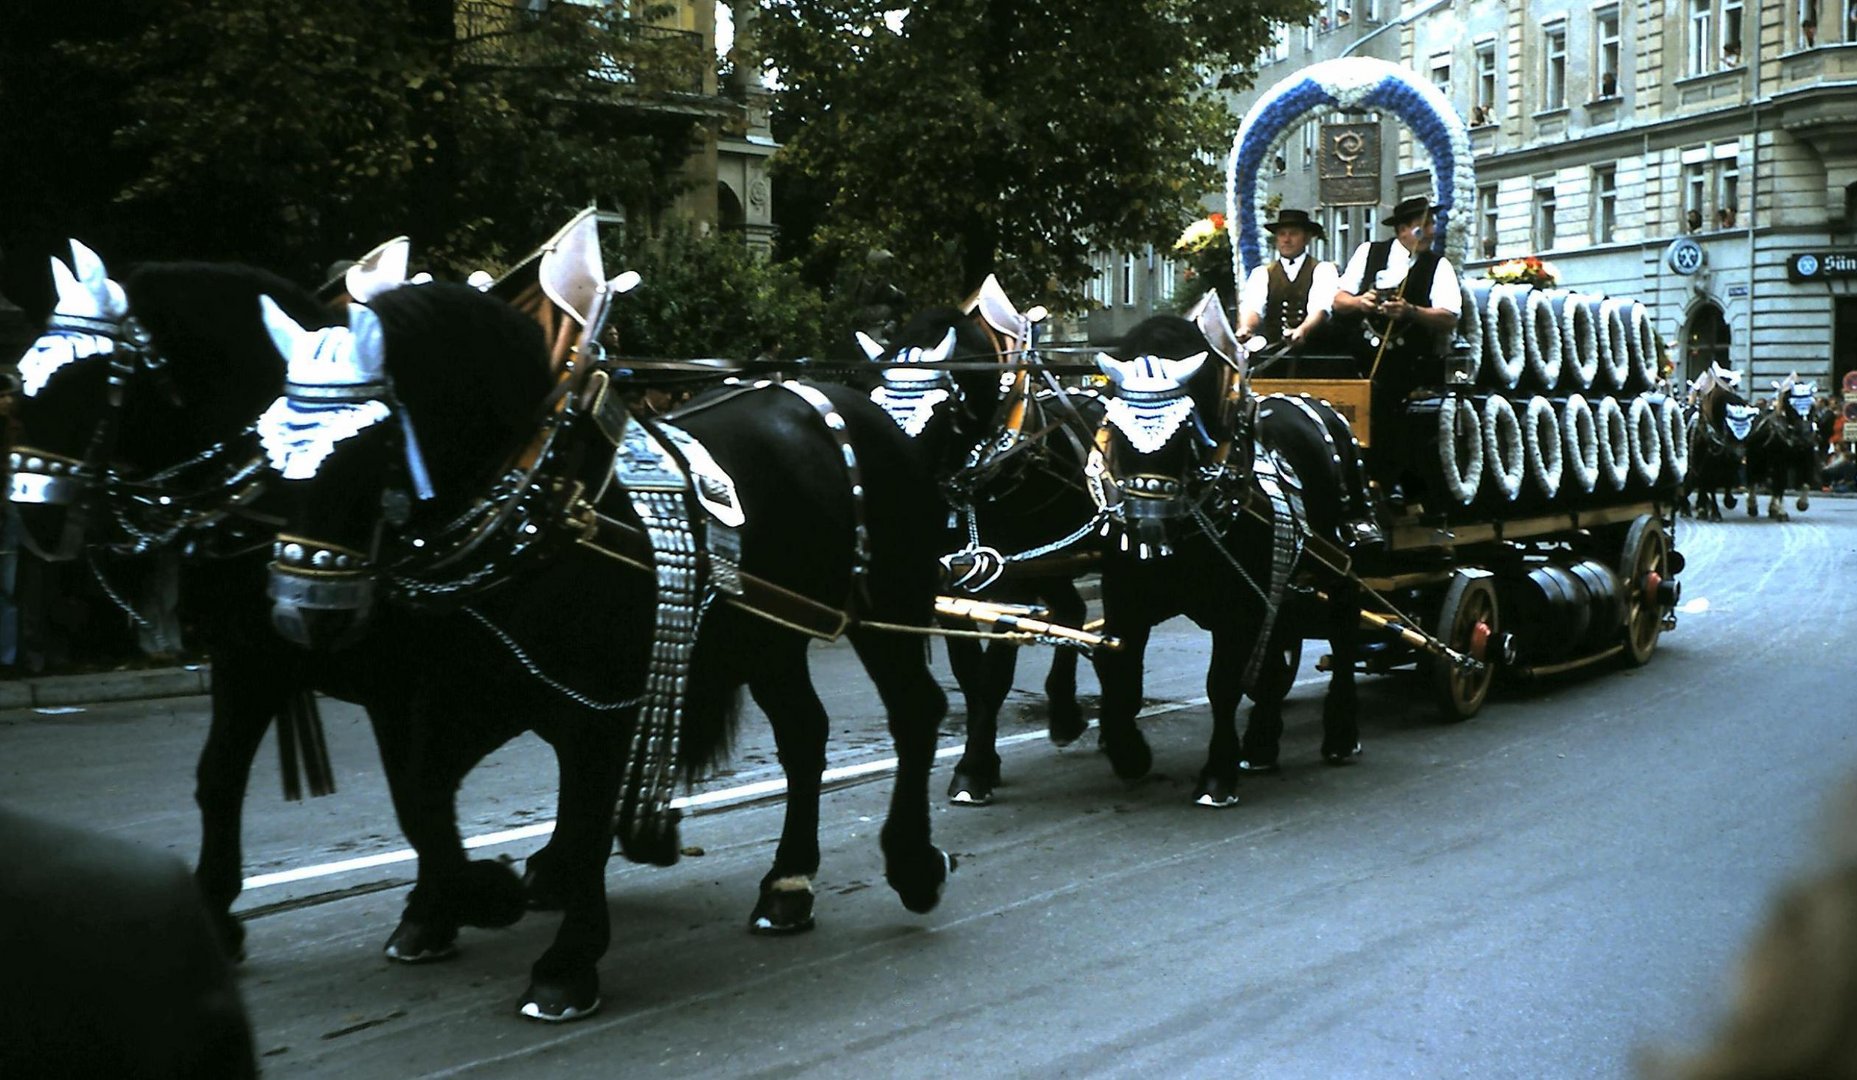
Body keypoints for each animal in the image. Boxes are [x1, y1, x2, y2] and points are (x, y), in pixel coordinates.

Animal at [261, 282, 958, 1024]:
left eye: (368, 441)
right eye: (269, 449)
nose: (299, 612)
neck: (541, 511)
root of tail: (849, 400)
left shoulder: (598, 703)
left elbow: (587, 813)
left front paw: (563, 962)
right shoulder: (482, 692)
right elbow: (422, 799)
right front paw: (477, 895)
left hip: (889, 610)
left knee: (916, 711)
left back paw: (913, 865)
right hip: (767, 636)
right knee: (804, 733)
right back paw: (788, 885)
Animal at [857, 300, 1099, 809]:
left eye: (939, 410)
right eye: (874, 404)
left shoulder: (1009, 581)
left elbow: (994, 676)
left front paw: (973, 772)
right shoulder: (953, 584)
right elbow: (969, 676)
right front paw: (980, 758)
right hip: (1051, 564)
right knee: (1071, 610)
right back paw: (1065, 714)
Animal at [1084, 317, 1366, 809]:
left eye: (1183, 430)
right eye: (1114, 427)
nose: (1147, 527)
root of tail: (1320, 405)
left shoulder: (1235, 611)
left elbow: (1222, 685)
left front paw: (1217, 777)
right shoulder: (1126, 602)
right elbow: (1119, 670)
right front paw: (1129, 754)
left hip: (1336, 550)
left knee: (1344, 621)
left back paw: (1340, 734)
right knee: (1281, 637)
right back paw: (1262, 744)